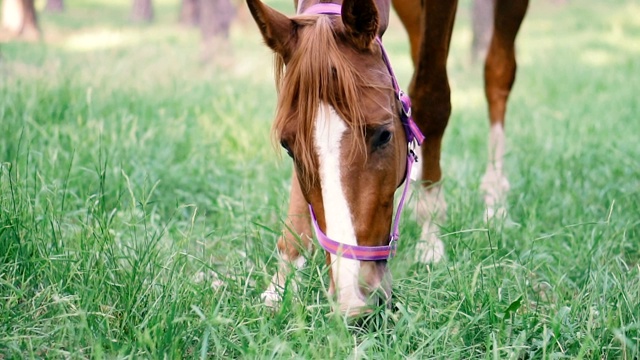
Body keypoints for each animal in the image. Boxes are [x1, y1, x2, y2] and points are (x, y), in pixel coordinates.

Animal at [245, 0, 524, 316]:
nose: (352, 297)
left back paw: (494, 198)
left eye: (384, 135)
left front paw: (431, 235)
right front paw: (283, 276)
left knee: (498, 72)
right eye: (288, 147)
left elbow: (432, 99)